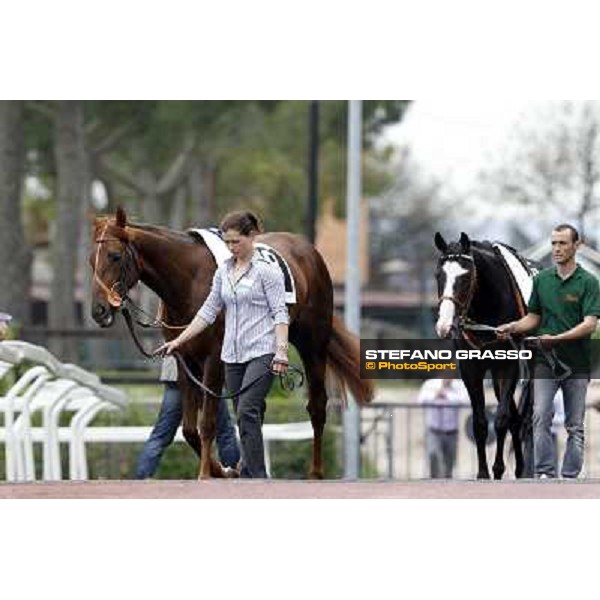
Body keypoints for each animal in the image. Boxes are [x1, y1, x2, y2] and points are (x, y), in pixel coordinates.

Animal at [89, 206, 372, 478]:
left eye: (114, 256)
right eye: (91, 260)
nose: (99, 311)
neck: (189, 279)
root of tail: (307, 248)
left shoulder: (215, 358)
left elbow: (207, 422)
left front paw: (205, 473)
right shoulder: (184, 359)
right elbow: (189, 428)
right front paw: (222, 470)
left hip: (313, 344)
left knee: (316, 405)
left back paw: (315, 471)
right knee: (254, 410)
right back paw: (246, 468)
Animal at [434, 232, 532, 480]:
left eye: (466, 277)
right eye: (438, 275)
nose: (444, 325)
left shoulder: (508, 367)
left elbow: (501, 419)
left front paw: (497, 469)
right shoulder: (471, 369)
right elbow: (479, 422)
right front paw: (482, 472)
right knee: (516, 418)